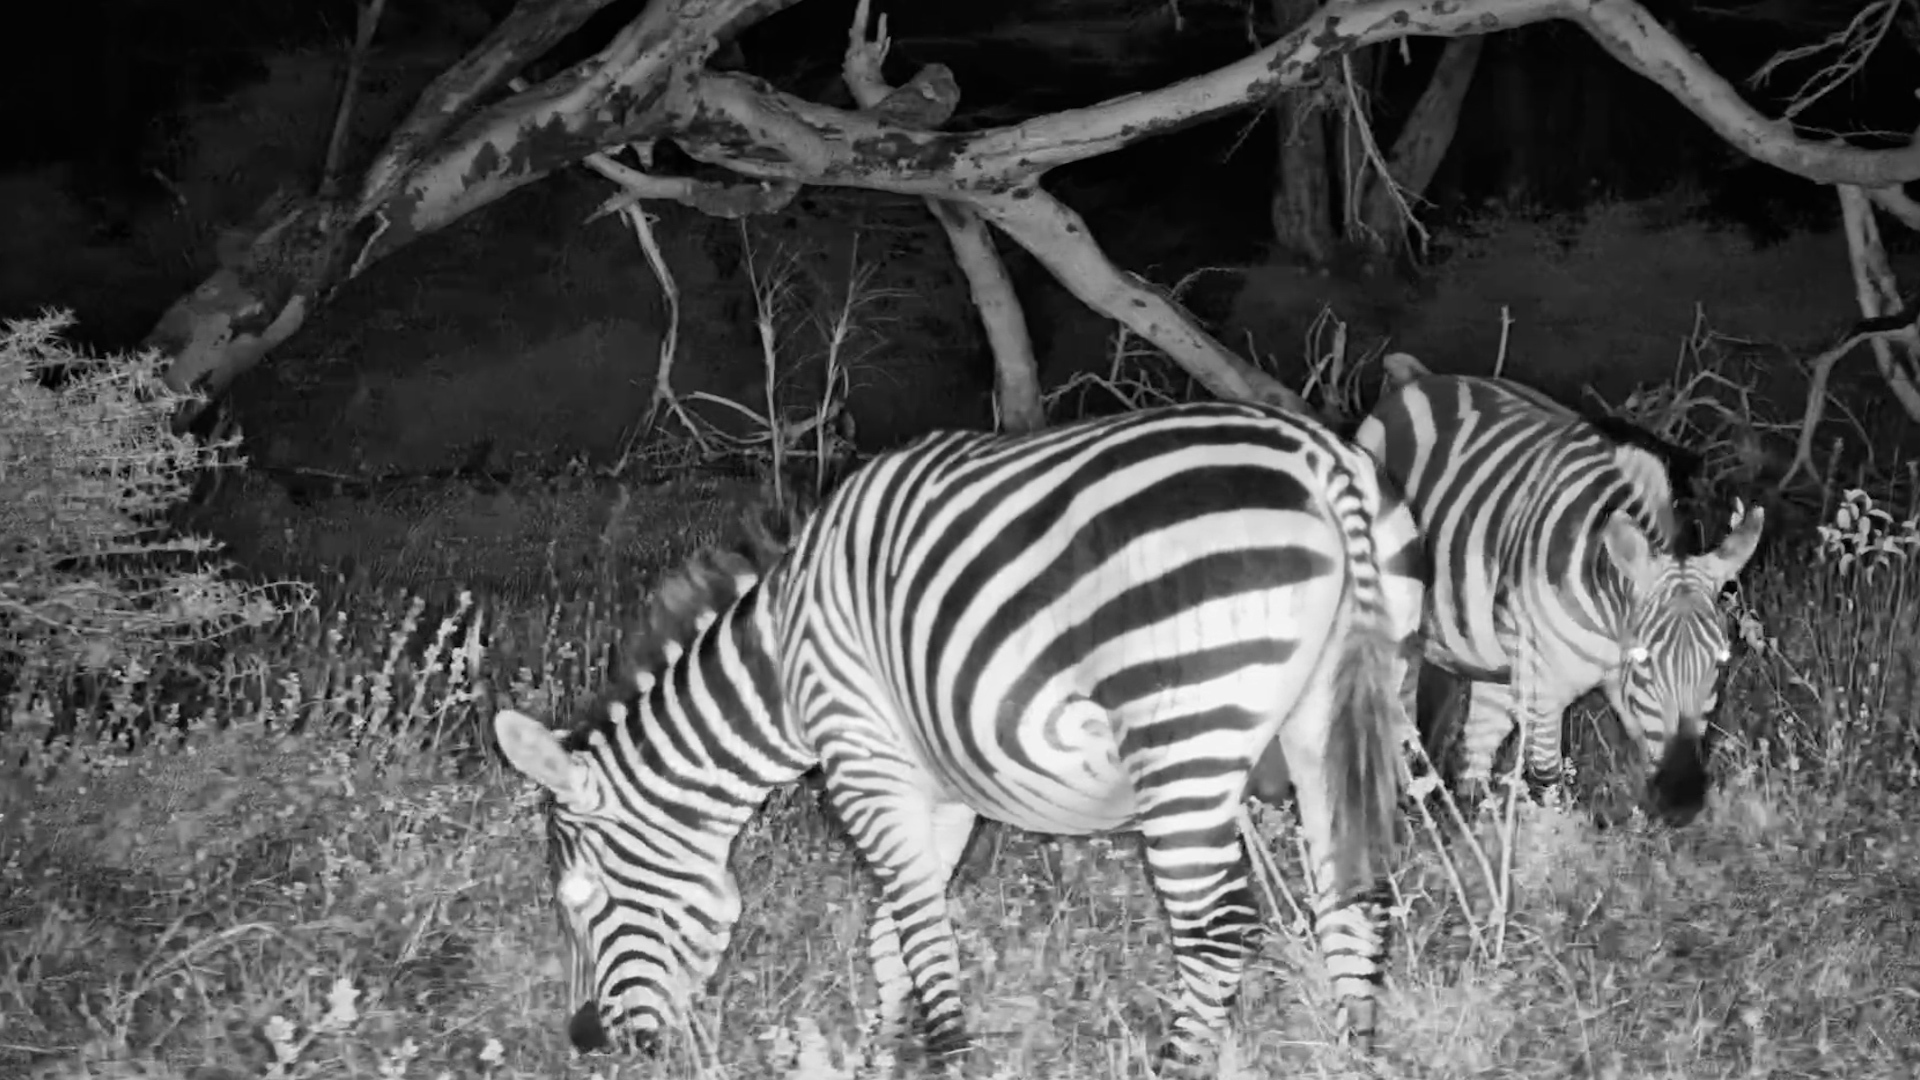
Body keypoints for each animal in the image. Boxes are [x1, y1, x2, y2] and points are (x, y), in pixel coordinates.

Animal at [493, 400, 1426, 1073]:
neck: (782, 667)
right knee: (1356, 900)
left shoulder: (863, 762)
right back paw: (1353, 1058)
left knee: (1215, 928)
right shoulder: (935, 789)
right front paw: (878, 1052)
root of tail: (1321, 457)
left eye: (580, 901)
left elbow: (919, 930)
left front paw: (937, 1055)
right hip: (1343, 717)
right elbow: (892, 937)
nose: (588, 1043)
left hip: (1185, 735)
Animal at [1355, 352, 1764, 824]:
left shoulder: (1619, 690)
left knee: (1476, 744)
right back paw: (1410, 809)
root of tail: (1416, 377)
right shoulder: (1543, 687)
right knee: (1401, 714)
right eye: (1643, 661)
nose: (1683, 801)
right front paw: (1551, 839)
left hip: (1491, 648)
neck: (1610, 614)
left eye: (1720, 662)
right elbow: (1548, 783)